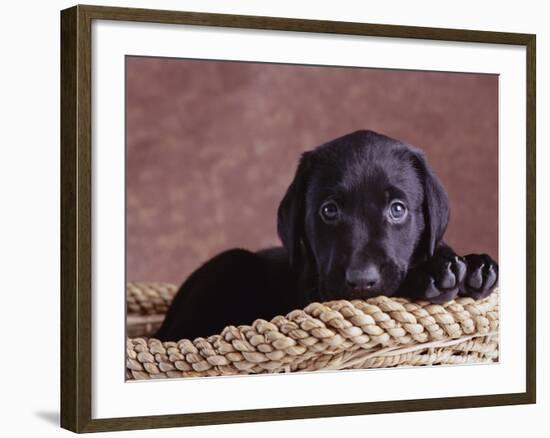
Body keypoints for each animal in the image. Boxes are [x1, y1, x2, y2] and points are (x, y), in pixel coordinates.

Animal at [155, 130, 500, 342]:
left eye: (397, 209)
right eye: (329, 210)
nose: (362, 281)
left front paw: (473, 266)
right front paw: (434, 272)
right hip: (229, 262)